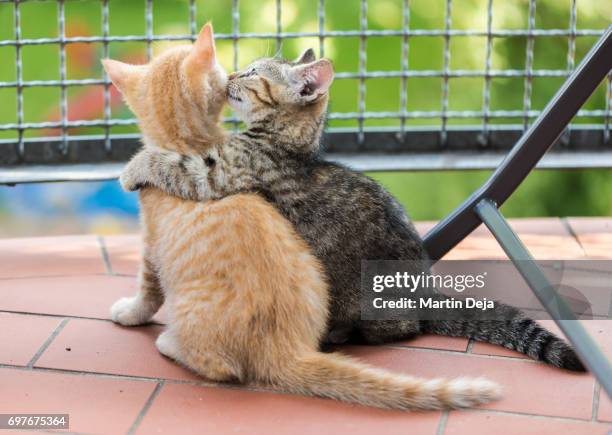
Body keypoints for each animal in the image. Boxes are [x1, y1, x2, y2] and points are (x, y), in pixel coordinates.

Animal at [119, 50, 584, 372]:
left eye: (252, 74)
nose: (230, 75)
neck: (285, 140)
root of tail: (423, 292)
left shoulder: (218, 175)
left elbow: (174, 165)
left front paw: (134, 167)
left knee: (399, 331)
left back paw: (344, 333)